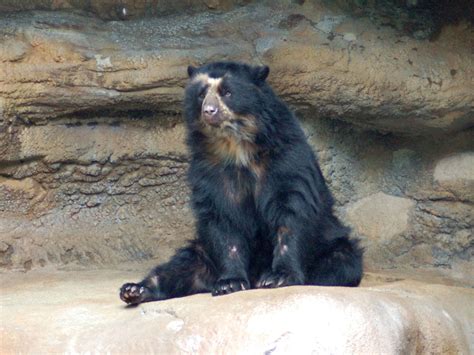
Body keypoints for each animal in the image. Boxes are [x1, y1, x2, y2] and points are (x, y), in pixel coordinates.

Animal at [119, 61, 362, 306]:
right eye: (201, 94)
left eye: (227, 92)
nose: (209, 111)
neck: (235, 146)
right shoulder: (210, 172)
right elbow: (223, 219)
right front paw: (230, 283)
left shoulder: (286, 159)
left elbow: (291, 211)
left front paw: (279, 277)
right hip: (204, 253)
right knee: (181, 267)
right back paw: (135, 289)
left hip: (331, 243)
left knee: (341, 262)